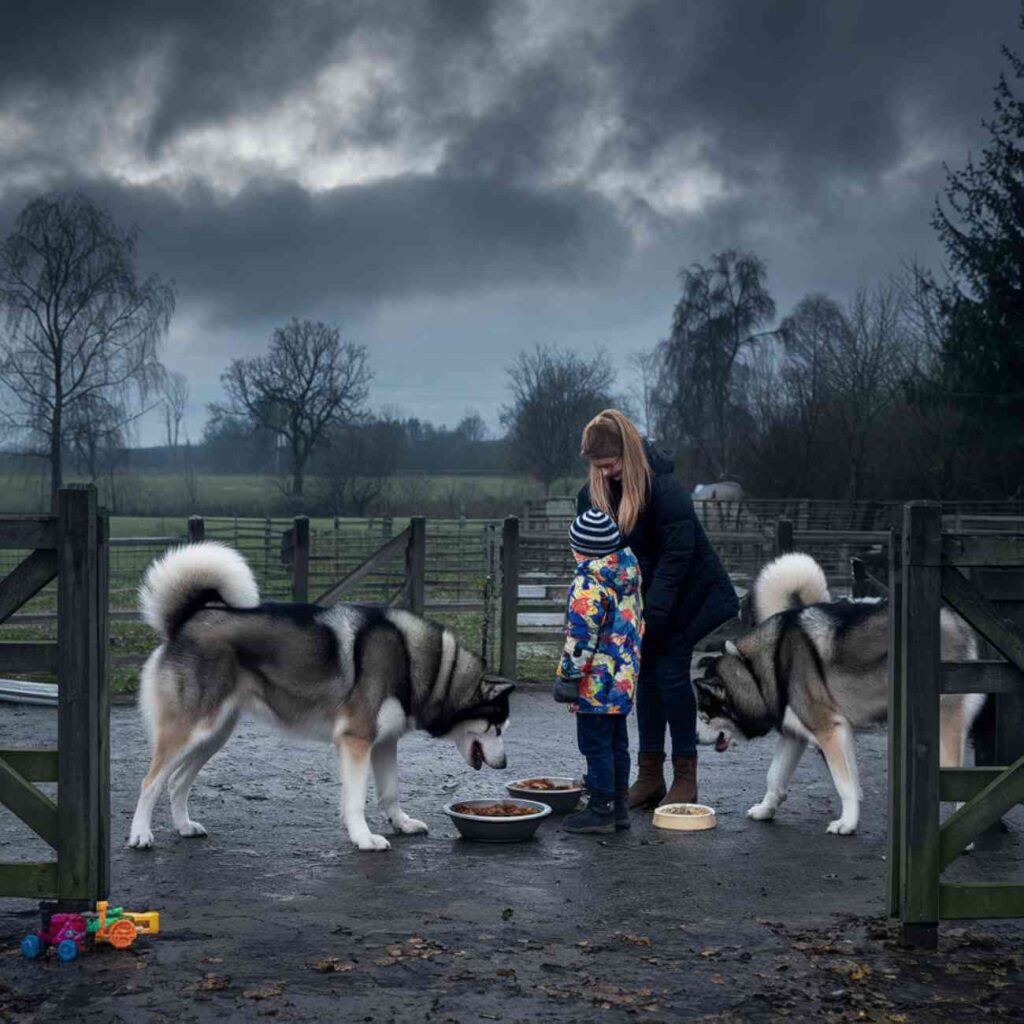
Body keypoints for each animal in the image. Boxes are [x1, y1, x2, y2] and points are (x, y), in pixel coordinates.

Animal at [130, 540, 512, 851]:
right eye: (497, 727)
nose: (506, 764)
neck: (414, 662)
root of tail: (187, 621)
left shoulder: (384, 743)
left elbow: (390, 793)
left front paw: (401, 824)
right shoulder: (356, 741)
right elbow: (356, 800)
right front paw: (364, 838)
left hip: (213, 735)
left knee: (177, 782)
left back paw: (184, 827)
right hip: (190, 731)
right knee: (150, 781)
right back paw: (140, 835)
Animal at [692, 557, 987, 835]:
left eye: (704, 714)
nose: (693, 738)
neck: (761, 669)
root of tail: (958, 623)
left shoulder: (829, 731)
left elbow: (843, 784)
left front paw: (847, 823)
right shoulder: (796, 734)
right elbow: (775, 776)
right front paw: (766, 809)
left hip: (945, 728)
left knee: (961, 783)